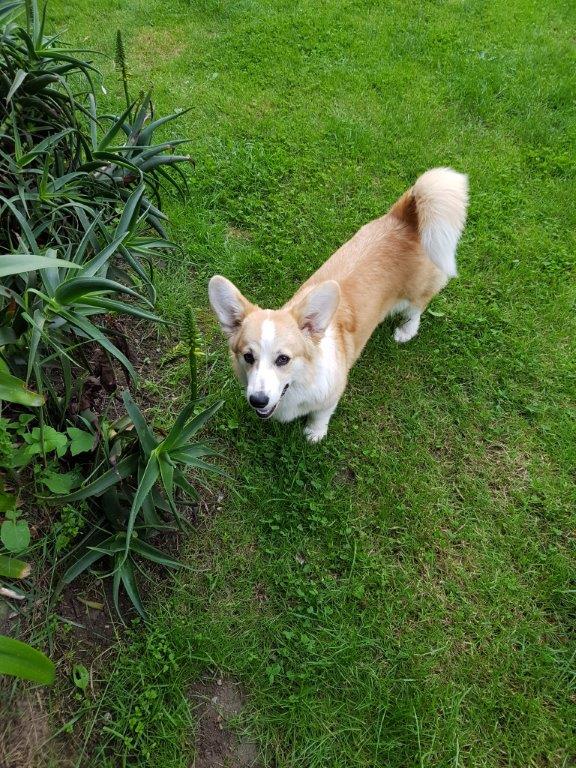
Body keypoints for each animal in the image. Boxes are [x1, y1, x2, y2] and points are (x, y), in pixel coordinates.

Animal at [208, 168, 468, 444]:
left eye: (283, 359)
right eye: (248, 356)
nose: (258, 401)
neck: (302, 380)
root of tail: (406, 216)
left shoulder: (331, 396)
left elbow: (320, 415)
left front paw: (314, 434)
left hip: (416, 291)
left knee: (417, 309)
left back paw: (406, 331)